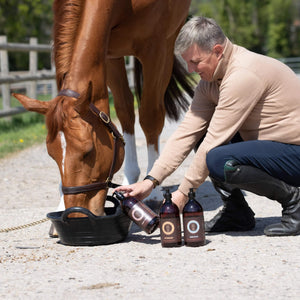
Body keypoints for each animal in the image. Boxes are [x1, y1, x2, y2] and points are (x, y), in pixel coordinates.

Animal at [12, 0, 193, 217]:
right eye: (51, 154)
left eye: (88, 152)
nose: (76, 214)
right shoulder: (107, 53)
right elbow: (124, 110)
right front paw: (61, 204)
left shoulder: (155, 47)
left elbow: (150, 116)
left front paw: (154, 192)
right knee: (126, 110)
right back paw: (130, 178)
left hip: (167, 45)